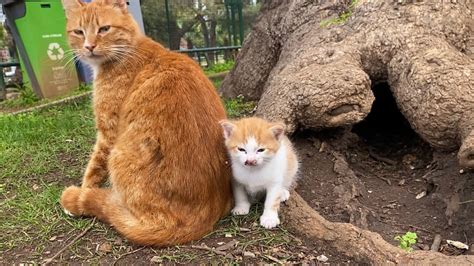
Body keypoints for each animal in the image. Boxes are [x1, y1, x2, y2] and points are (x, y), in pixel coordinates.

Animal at [59, 0, 233, 246]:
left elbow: (93, 169)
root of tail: (200, 221)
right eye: (79, 32)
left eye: (104, 29)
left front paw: (84, 191)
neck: (128, 49)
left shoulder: (107, 133)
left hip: (119, 155)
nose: (89, 46)